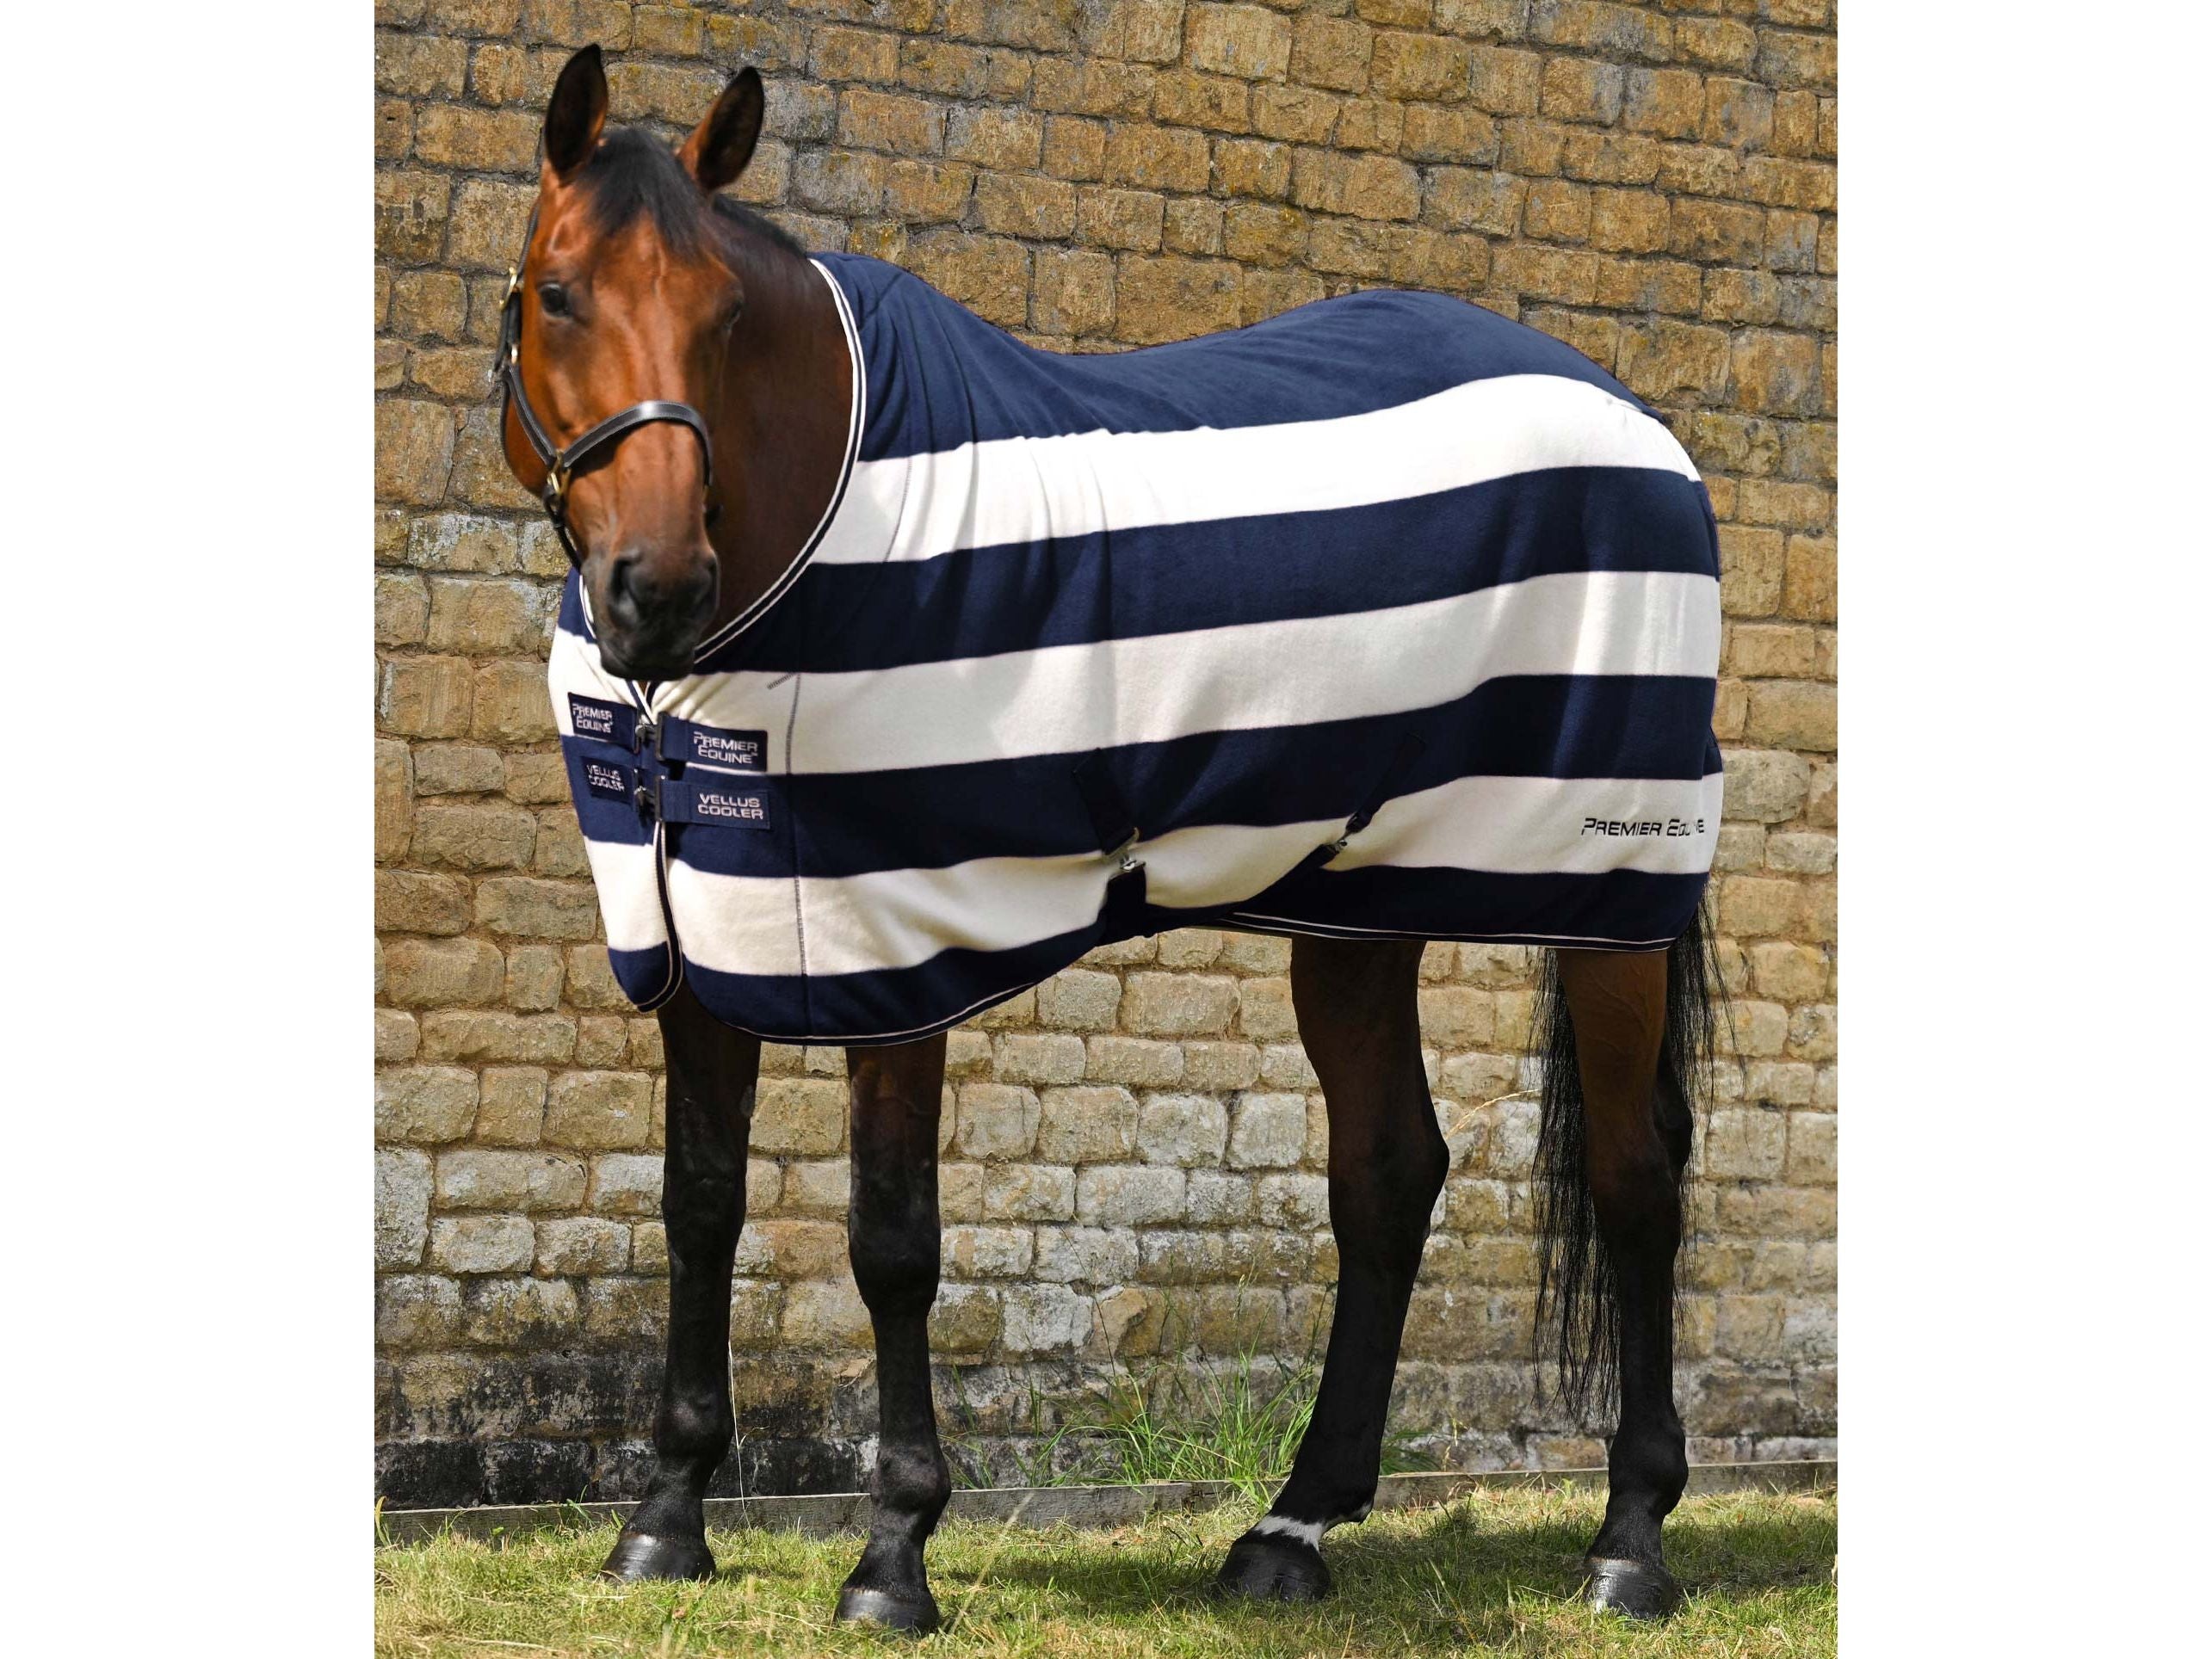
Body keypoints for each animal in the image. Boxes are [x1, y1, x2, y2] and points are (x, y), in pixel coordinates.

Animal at [494, 45, 1726, 1627]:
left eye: (726, 315)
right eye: (558, 292)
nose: (656, 588)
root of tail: (1636, 421)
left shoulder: (899, 941)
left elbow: (891, 1240)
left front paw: (893, 1552)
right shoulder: (699, 933)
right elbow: (697, 1201)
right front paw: (664, 1516)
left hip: (1605, 892)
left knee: (1635, 1177)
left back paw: (1629, 1538)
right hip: (1360, 902)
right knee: (1389, 1172)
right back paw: (1292, 1527)